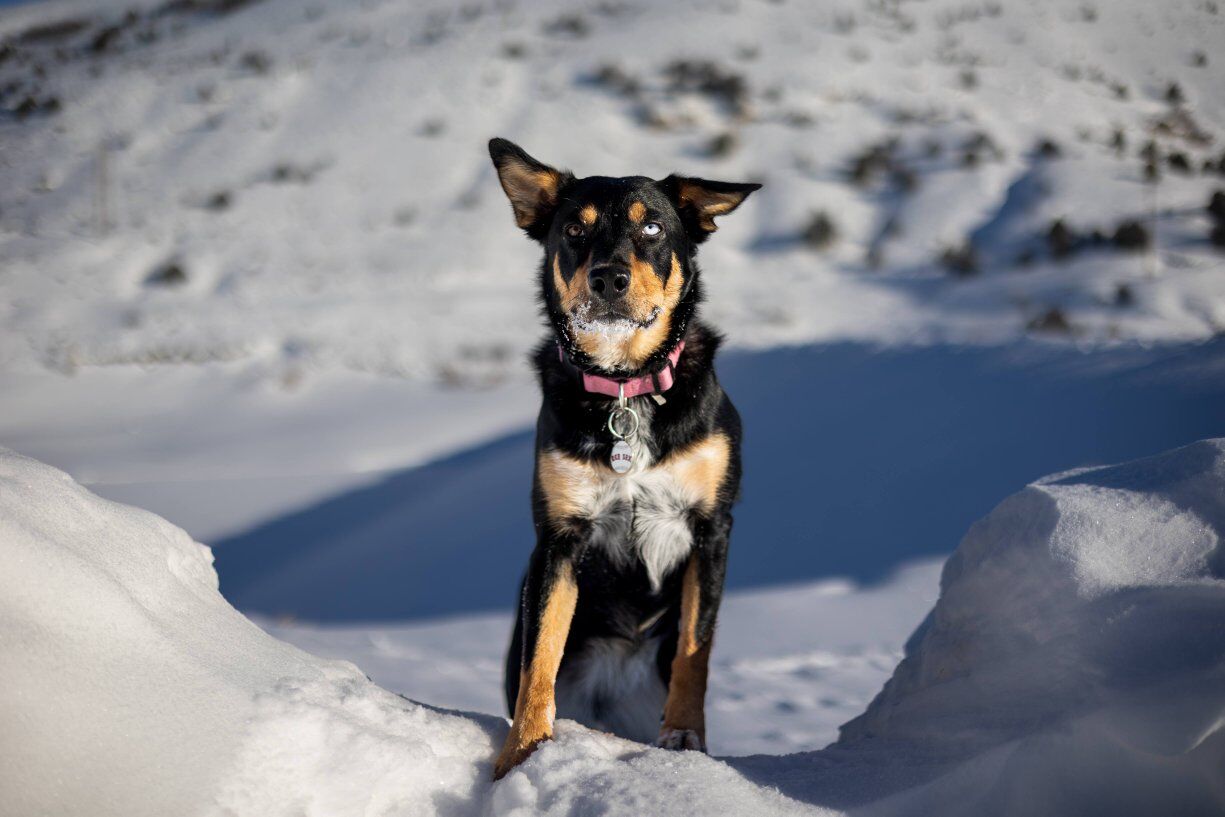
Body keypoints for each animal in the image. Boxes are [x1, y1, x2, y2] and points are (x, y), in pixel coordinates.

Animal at [487, 138, 758, 780]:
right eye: (575, 231)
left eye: (653, 227)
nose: (609, 277)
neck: (626, 387)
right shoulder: (560, 535)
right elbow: (541, 657)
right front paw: (522, 755)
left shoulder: (712, 527)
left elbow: (694, 650)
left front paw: (683, 741)